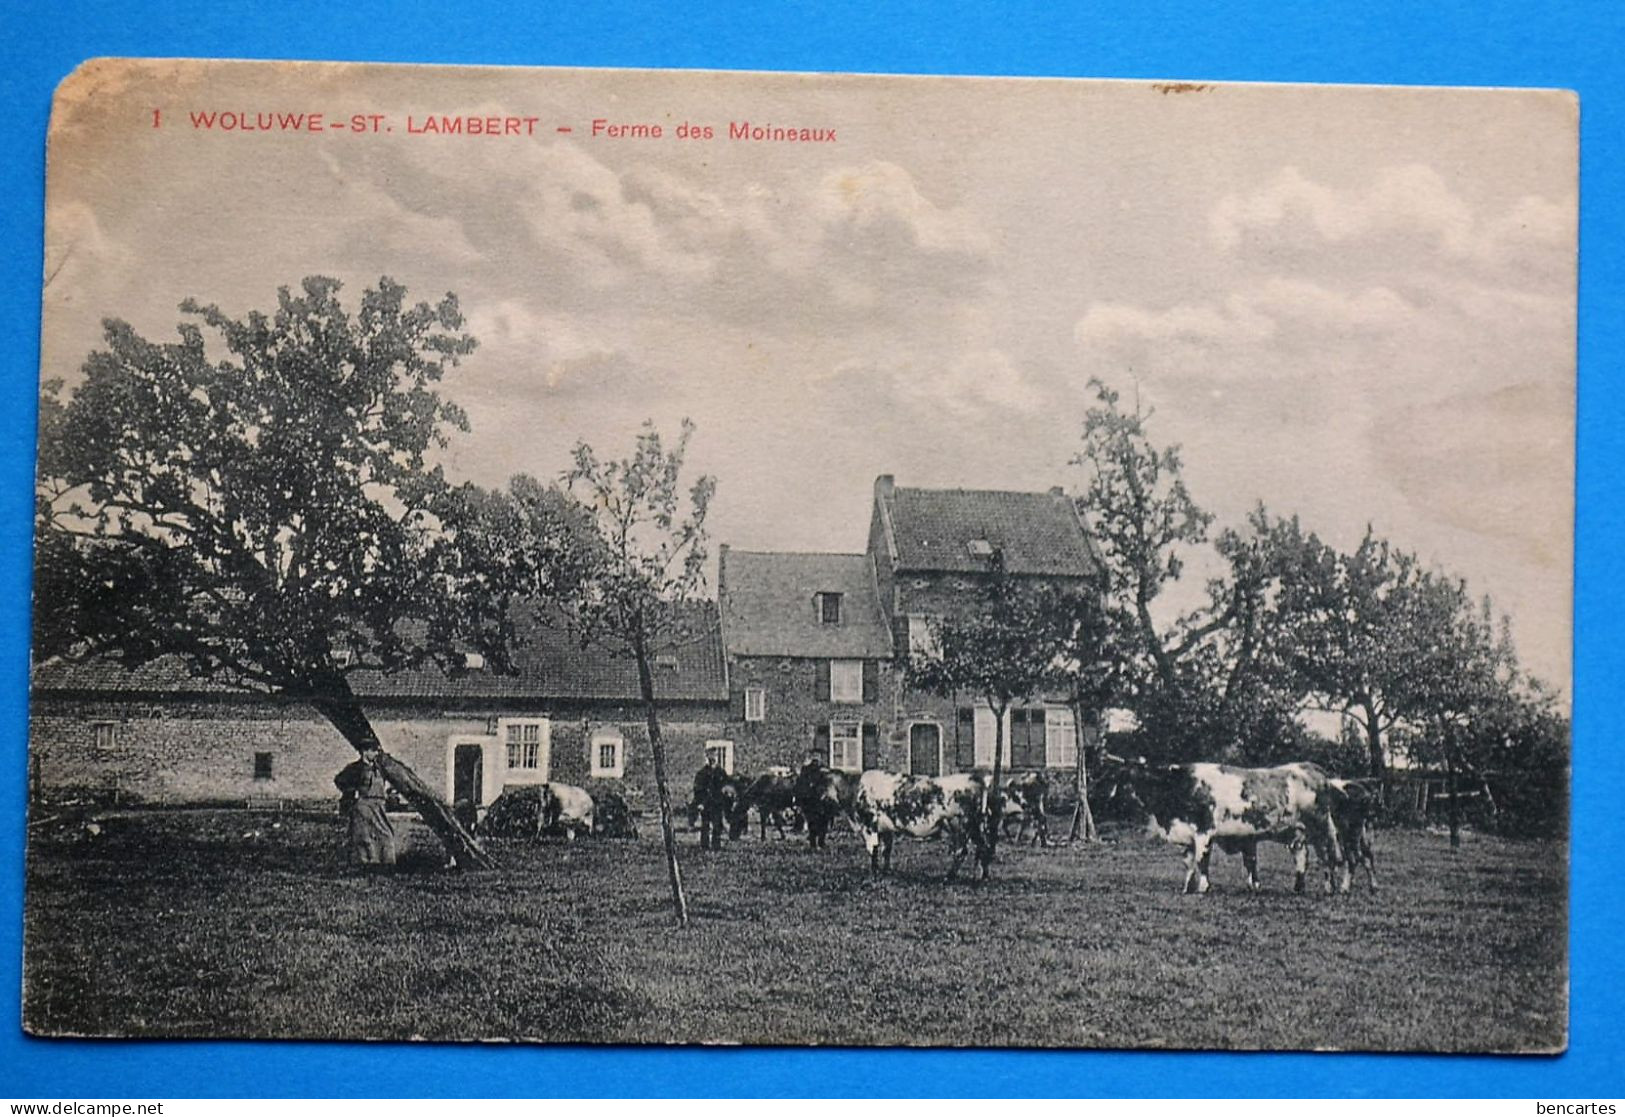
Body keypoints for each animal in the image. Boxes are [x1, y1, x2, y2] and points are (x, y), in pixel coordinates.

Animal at [845, 773, 994, 877]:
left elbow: (873, 849)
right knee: (983, 847)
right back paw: (982, 876)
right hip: (974, 826)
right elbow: (886, 850)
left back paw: (949, 876)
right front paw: (885, 871)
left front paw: (874, 873)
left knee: (961, 851)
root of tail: (974, 778)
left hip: (960, 824)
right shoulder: (886, 829)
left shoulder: (869, 826)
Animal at [1105, 754, 1345, 897]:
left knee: (1327, 858)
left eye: (1123, 779)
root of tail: (1313, 768)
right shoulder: (1189, 835)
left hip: (1320, 828)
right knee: (1301, 857)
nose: (1108, 799)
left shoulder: (1203, 832)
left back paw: (1329, 888)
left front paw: (1202, 888)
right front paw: (1186, 887)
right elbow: (1189, 862)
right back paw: (1298, 888)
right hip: (1295, 831)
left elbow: (1202, 860)